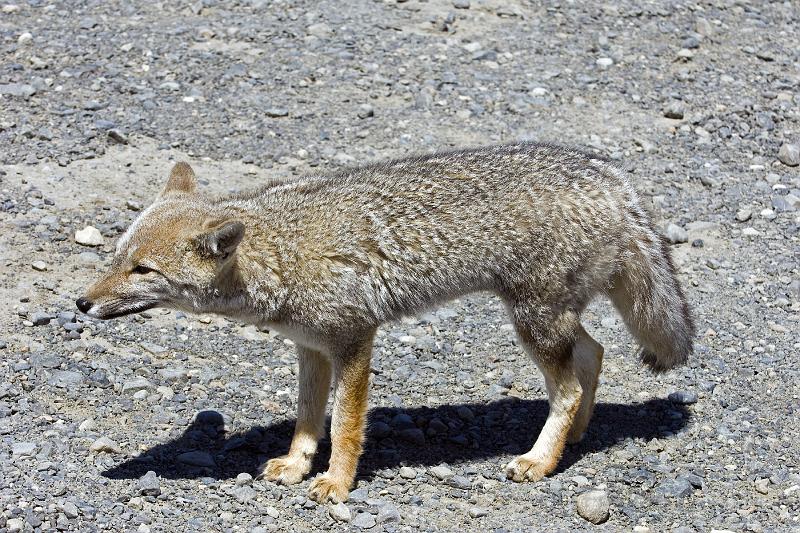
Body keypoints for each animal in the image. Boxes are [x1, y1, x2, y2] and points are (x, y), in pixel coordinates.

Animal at [79, 142, 692, 502]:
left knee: (567, 385)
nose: (82, 304)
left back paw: (541, 460)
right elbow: (307, 418)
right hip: (548, 319)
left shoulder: (354, 340)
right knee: (593, 354)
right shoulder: (310, 348)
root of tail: (614, 178)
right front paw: (298, 466)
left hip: (532, 321)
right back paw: (575, 439)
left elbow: (347, 425)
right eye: (116, 257)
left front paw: (336, 483)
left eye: (142, 270)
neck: (278, 254)